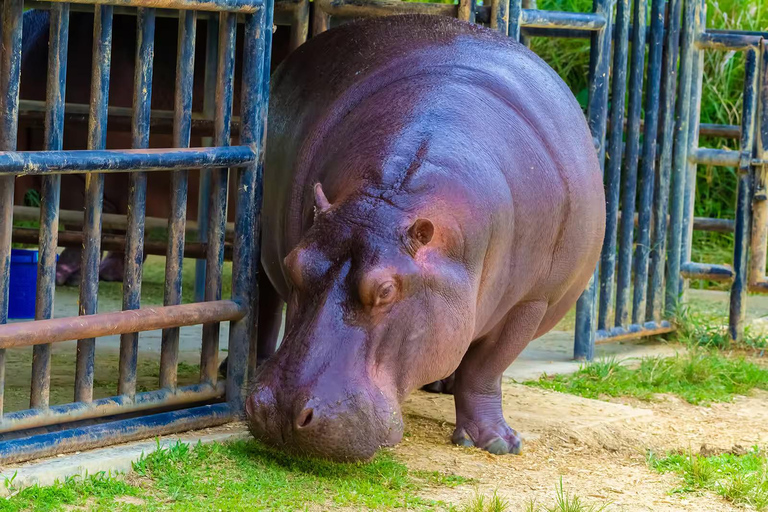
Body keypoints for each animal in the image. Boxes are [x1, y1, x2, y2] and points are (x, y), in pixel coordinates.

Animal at [246, 13, 608, 460]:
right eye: (295, 264)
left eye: (386, 290)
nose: (279, 411)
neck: (391, 202)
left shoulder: (532, 301)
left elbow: (485, 370)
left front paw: (497, 444)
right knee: (264, 305)